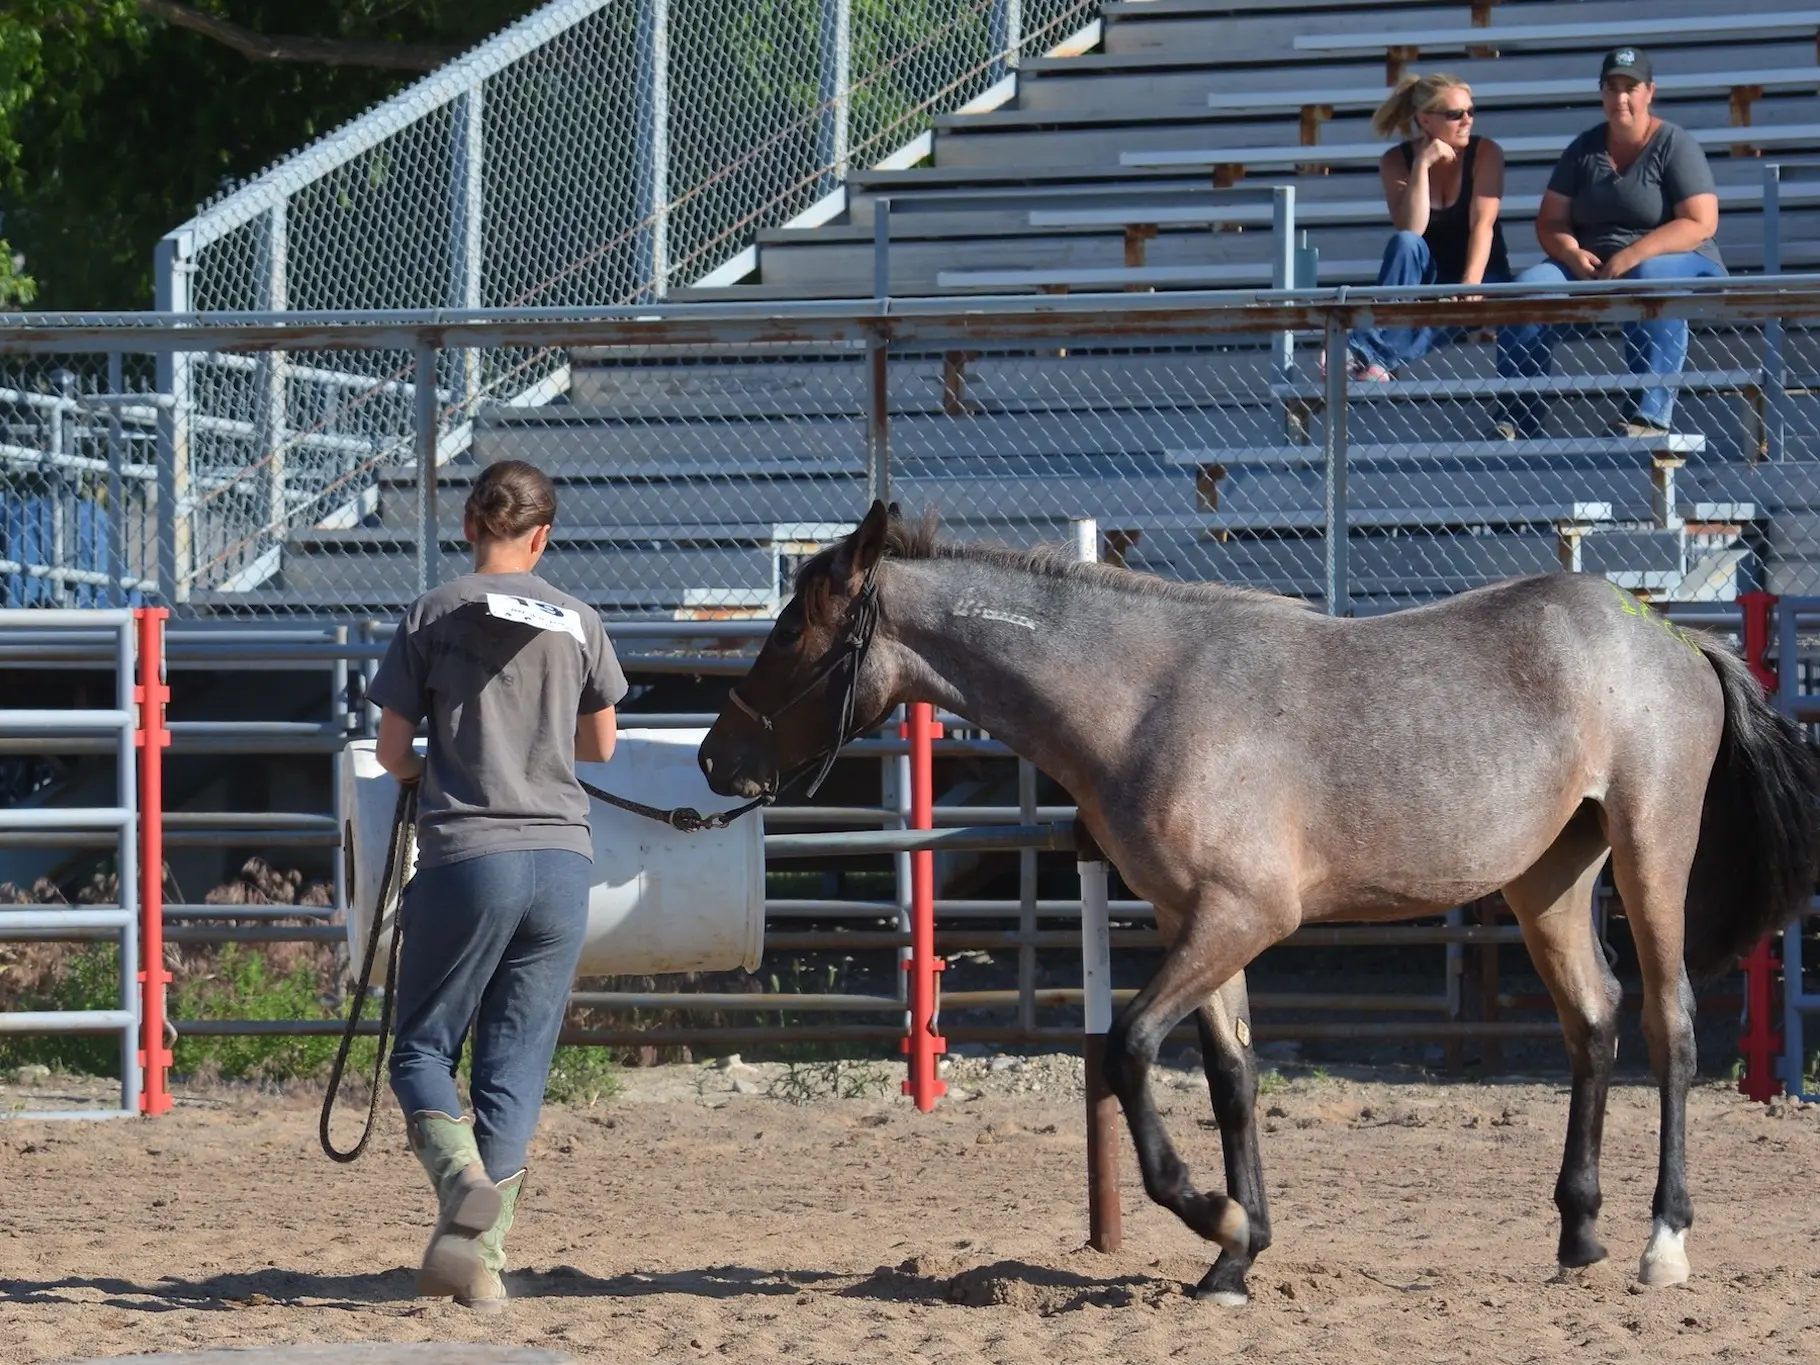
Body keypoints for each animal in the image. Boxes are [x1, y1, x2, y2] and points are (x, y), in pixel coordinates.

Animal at [691, 502, 1820, 1303]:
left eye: (790, 631)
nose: (712, 757)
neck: (1146, 698)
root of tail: (1676, 641)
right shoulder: (1200, 924)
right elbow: (1231, 1078)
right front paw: (1236, 1258)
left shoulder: (1240, 919)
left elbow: (1127, 1051)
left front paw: (1212, 1217)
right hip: (1548, 879)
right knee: (1592, 1024)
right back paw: (1576, 1233)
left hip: (1648, 851)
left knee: (1669, 1028)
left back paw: (1660, 1244)